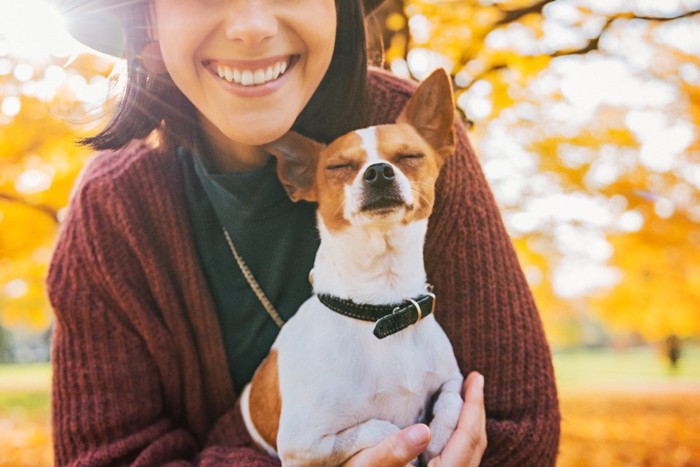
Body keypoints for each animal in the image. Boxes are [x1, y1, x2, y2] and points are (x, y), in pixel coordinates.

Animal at [241, 67, 464, 466]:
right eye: (339, 166)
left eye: (410, 156)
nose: (379, 171)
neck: (383, 308)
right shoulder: (303, 445)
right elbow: (384, 429)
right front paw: (411, 451)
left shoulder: (452, 379)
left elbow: (452, 399)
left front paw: (438, 437)